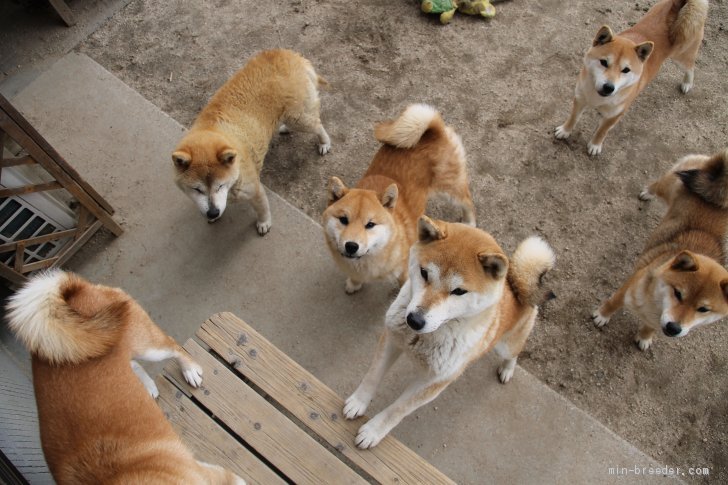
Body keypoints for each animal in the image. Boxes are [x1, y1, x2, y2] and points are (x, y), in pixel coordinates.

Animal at [5, 270, 245, 482]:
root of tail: (76, 294)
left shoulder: (211, 472)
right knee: (132, 363)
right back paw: (148, 387)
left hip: (148, 346)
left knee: (174, 346)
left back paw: (189, 371)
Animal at [324, 104, 478, 294]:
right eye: (343, 220)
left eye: (370, 224)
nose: (351, 246)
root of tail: (434, 131)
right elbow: (355, 277)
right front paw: (354, 284)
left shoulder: (405, 272)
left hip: (449, 189)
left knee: (467, 201)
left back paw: (469, 221)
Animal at [344, 217, 556, 448]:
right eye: (424, 273)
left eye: (459, 291)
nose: (415, 320)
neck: (422, 337)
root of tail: (516, 287)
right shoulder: (392, 339)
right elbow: (372, 376)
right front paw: (358, 402)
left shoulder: (435, 382)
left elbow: (397, 410)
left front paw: (373, 431)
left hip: (506, 345)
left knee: (514, 353)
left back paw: (507, 369)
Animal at [556, 0, 708, 155]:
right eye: (604, 62)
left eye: (626, 70)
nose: (609, 87)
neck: (598, 98)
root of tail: (680, 5)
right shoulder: (580, 98)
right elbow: (573, 118)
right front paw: (565, 130)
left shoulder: (615, 115)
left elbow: (602, 131)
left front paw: (595, 145)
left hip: (682, 56)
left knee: (691, 67)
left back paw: (687, 84)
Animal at [592, 149, 728, 350]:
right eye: (678, 294)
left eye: (703, 309)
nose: (674, 328)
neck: (656, 303)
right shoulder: (627, 289)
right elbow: (613, 302)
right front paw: (602, 316)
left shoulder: (659, 322)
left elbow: (652, 328)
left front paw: (645, 337)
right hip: (668, 186)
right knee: (657, 184)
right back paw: (646, 193)